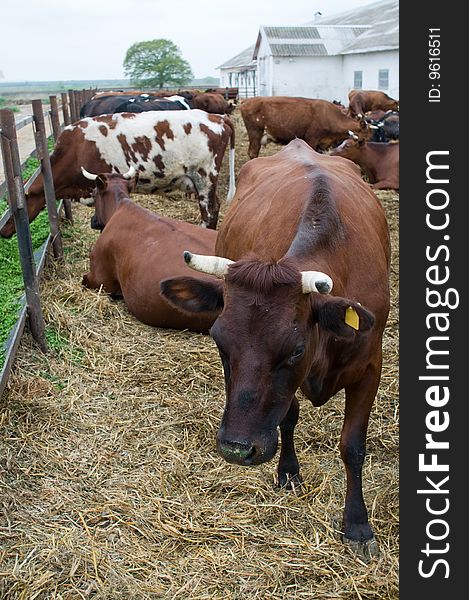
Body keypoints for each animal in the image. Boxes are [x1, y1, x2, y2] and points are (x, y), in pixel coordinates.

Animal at [161, 137, 392, 556]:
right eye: (219, 342)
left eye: (296, 349)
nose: (237, 448)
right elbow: (288, 415)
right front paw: (288, 472)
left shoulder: (371, 366)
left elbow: (353, 446)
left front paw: (357, 524)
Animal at [239, 95, 372, 158]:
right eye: (364, 138)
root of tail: (246, 101)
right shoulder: (311, 139)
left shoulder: (322, 144)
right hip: (255, 132)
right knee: (253, 153)